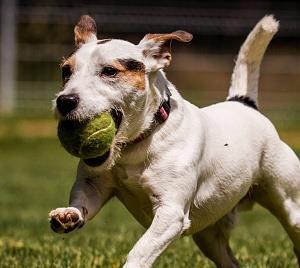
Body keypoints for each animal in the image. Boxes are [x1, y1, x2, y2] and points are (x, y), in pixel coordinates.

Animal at [49, 15, 300, 268]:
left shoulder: (171, 213)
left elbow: (141, 250)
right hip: (209, 235)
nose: (64, 101)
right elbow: (84, 198)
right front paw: (69, 215)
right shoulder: (94, 184)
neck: (136, 146)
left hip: (289, 204)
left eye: (109, 71)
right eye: (65, 71)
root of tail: (242, 103)